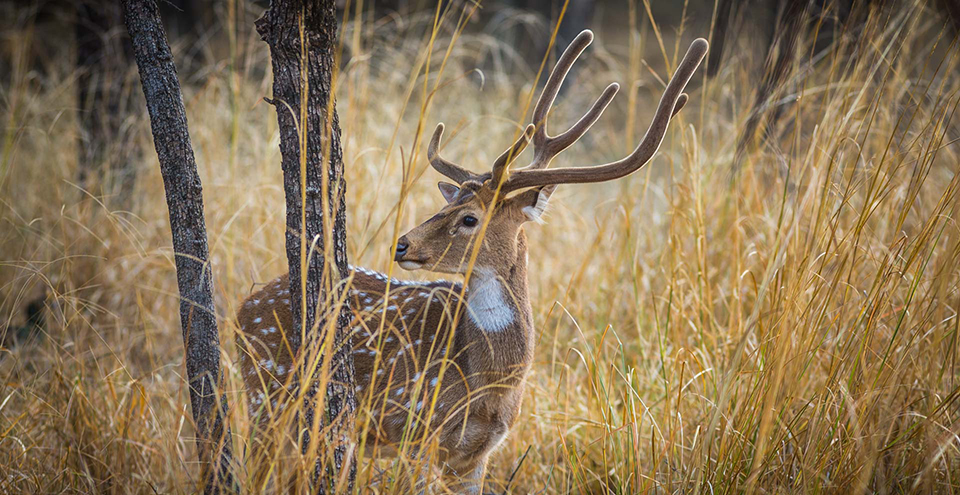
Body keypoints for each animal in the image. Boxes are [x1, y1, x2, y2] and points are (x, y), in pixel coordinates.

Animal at [237, 30, 707, 493]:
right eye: (447, 204)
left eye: (469, 218)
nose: (402, 245)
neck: (488, 386)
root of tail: (243, 306)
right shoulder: (416, 431)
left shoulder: (476, 454)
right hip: (266, 397)